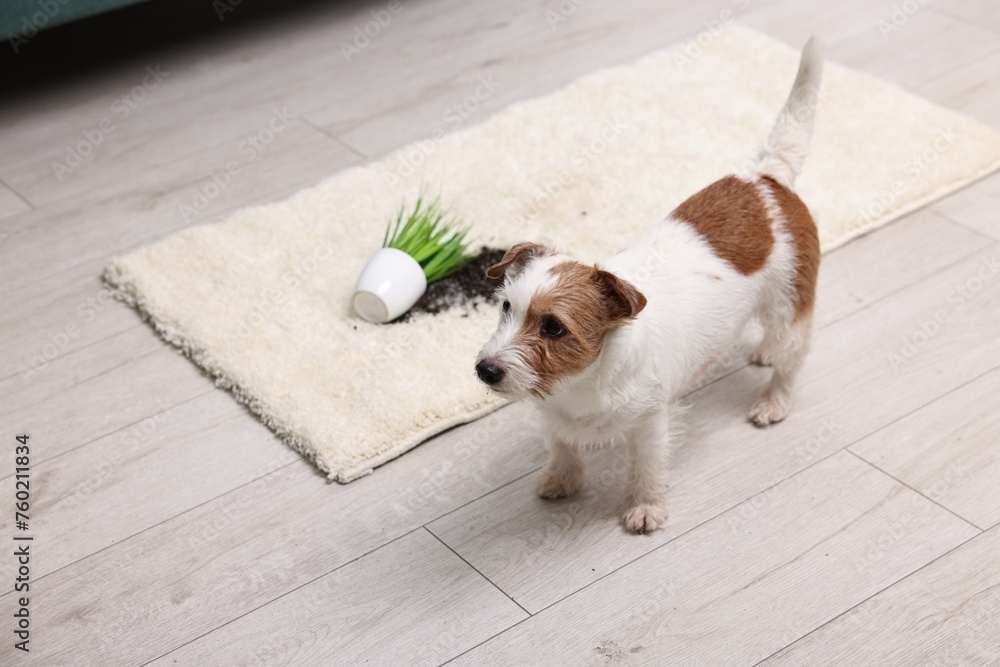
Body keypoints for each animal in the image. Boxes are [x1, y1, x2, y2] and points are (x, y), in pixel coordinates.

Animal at [474, 39, 820, 536]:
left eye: (554, 328)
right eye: (505, 307)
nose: (485, 370)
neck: (583, 382)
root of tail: (765, 178)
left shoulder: (650, 423)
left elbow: (646, 467)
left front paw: (644, 508)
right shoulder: (553, 417)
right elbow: (561, 446)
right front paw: (562, 479)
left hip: (789, 304)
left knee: (791, 357)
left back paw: (774, 400)